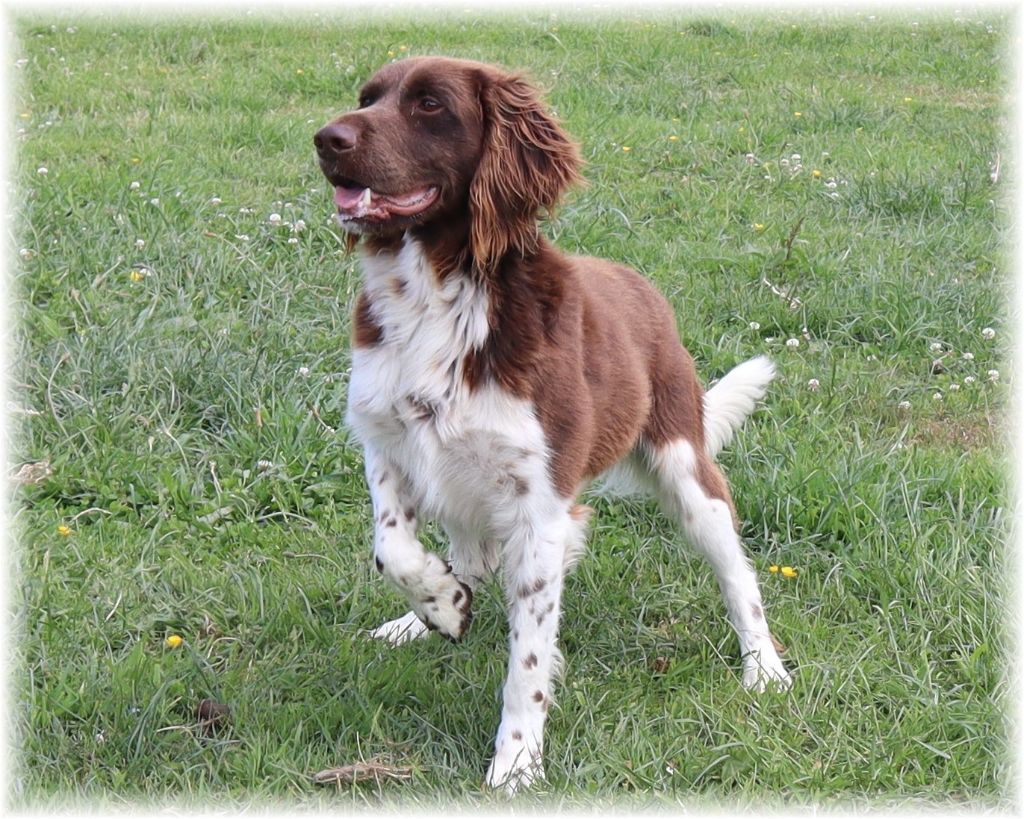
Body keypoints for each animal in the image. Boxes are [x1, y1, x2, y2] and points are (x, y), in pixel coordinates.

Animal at [311, 57, 790, 794]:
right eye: (367, 97)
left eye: (430, 104)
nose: (326, 139)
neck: (439, 299)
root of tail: (645, 288)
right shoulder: (387, 443)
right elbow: (394, 550)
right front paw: (440, 606)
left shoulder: (538, 500)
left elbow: (529, 660)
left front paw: (516, 762)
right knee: (474, 555)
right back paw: (425, 616)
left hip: (685, 466)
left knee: (738, 574)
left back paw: (764, 667)